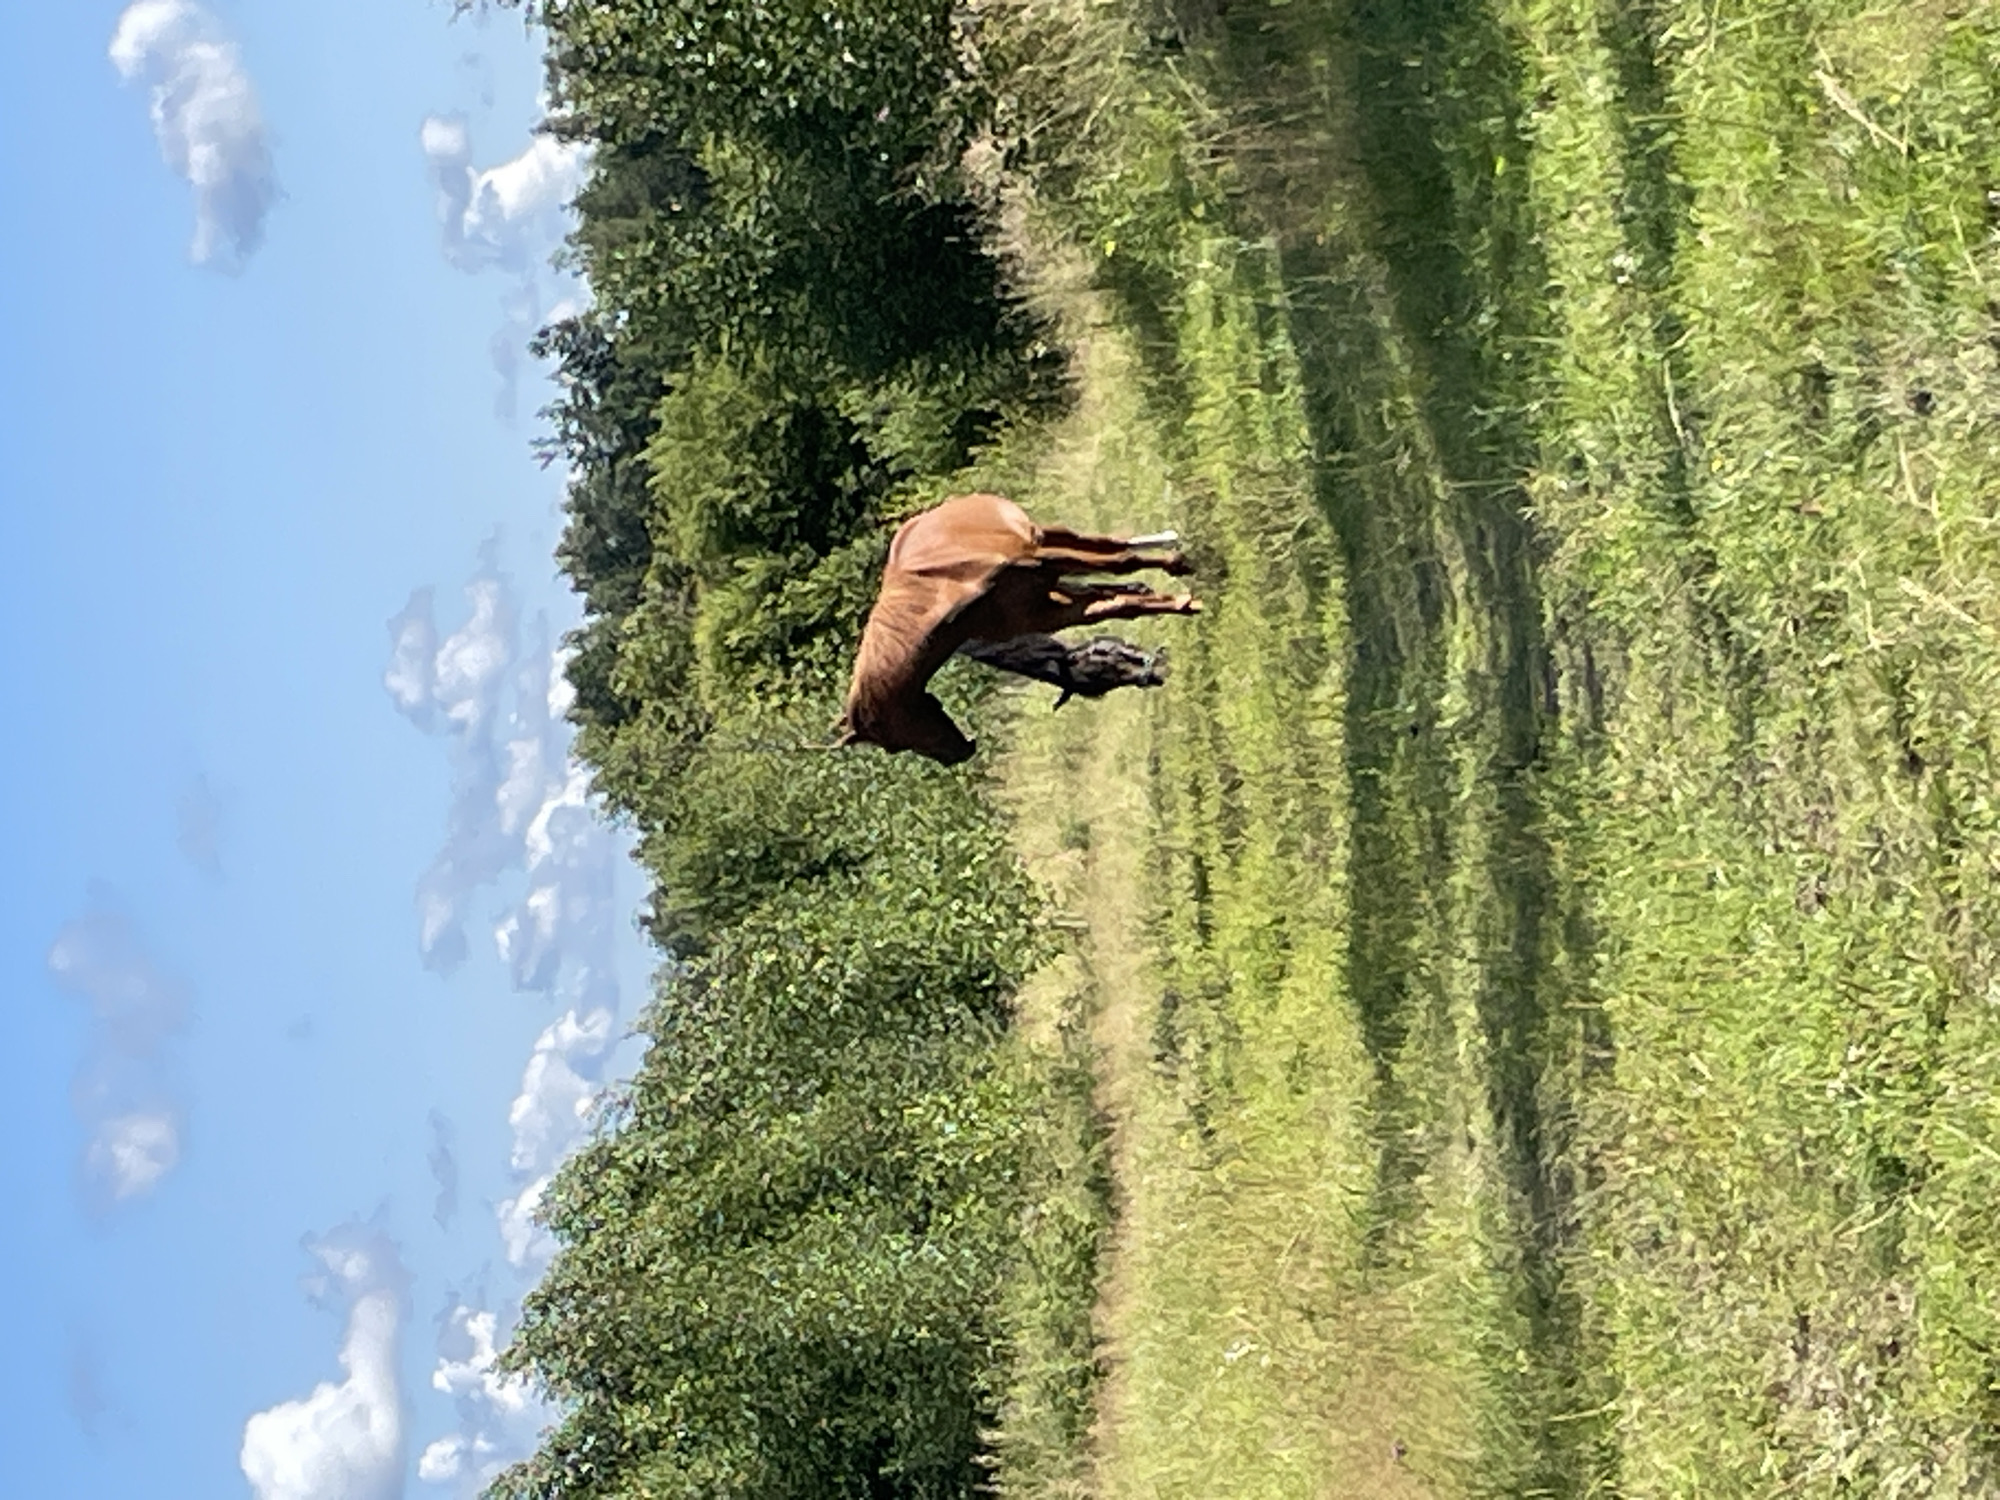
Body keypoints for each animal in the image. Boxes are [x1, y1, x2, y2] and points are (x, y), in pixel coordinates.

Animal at [835, 493, 1200, 764]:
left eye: (893, 742)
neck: (945, 592)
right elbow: (1119, 606)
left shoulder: (1045, 563)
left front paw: (1181, 581)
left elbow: (1121, 564)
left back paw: (1172, 551)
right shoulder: (1050, 612)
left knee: (1109, 546)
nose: (957, 756)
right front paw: (1180, 603)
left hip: (1044, 538)